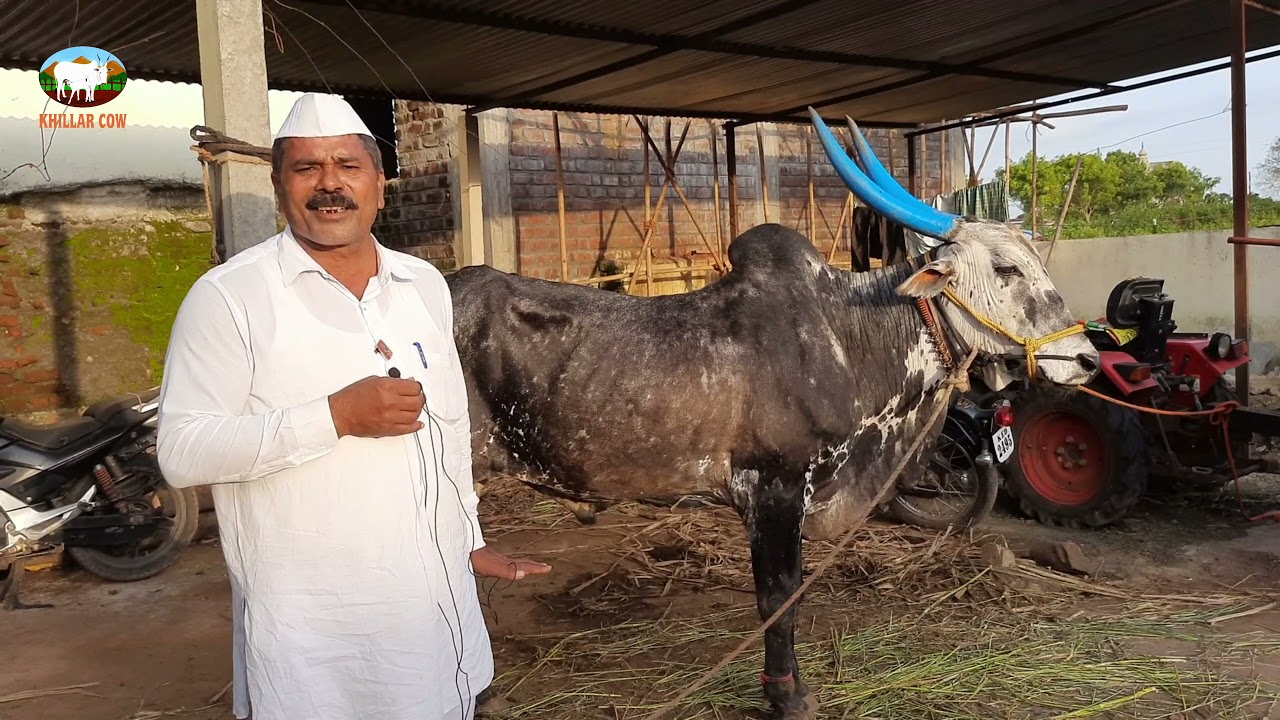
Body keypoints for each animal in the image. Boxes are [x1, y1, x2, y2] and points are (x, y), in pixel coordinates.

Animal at [446, 109, 1098, 719]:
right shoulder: (774, 488)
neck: (846, 333)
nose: (1087, 357)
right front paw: (786, 695)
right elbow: (779, 598)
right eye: (1007, 268)